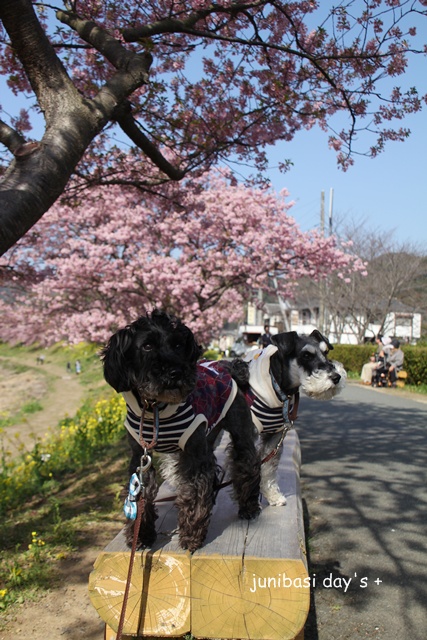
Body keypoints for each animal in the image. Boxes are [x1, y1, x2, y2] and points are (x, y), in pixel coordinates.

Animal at [101, 308, 260, 552]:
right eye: (147, 346)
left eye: (178, 345)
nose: (176, 372)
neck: (155, 407)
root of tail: (228, 366)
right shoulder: (140, 456)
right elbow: (143, 493)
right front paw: (141, 536)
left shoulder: (194, 454)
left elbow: (193, 491)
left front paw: (191, 536)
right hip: (208, 435)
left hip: (238, 429)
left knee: (247, 465)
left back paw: (249, 507)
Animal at [234, 332, 348, 508]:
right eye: (306, 355)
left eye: (326, 352)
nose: (336, 377)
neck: (278, 388)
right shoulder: (247, 437)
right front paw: (248, 505)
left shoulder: (274, 438)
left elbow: (268, 468)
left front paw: (273, 496)